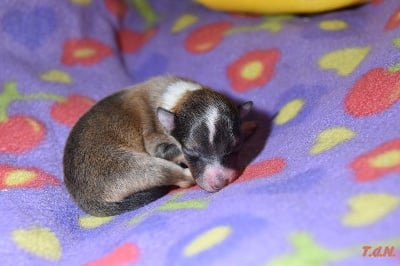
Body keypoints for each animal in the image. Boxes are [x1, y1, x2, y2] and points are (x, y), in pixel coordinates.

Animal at [63, 75, 256, 216]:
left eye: (234, 148)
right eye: (190, 152)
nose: (221, 183)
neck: (180, 98)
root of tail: (87, 199)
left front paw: (249, 126)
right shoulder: (156, 144)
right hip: (140, 166)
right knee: (180, 178)